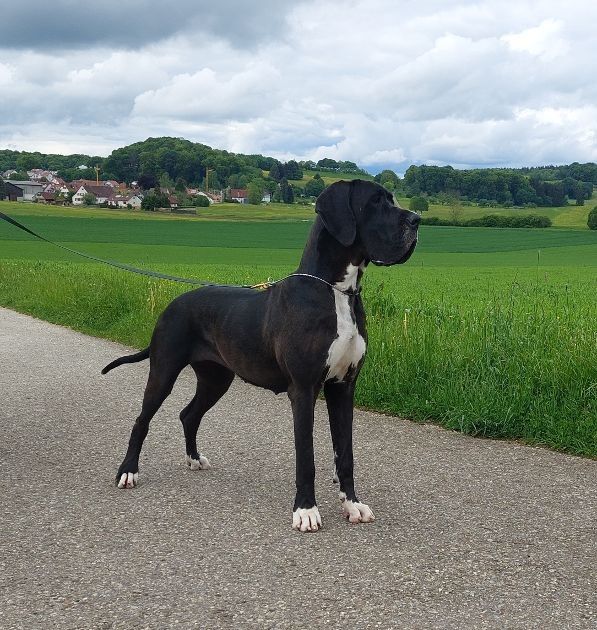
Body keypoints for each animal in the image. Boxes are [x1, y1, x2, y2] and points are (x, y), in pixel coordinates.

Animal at [102, 179, 420, 532]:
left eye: (391, 199)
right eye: (375, 202)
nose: (417, 220)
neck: (337, 292)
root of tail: (173, 303)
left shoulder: (343, 386)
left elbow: (346, 453)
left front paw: (352, 504)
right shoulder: (304, 389)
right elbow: (306, 456)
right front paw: (306, 510)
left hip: (216, 379)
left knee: (189, 414)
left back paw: (194, 458)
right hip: (164, 371)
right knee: (142, 420)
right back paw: (128, 471)